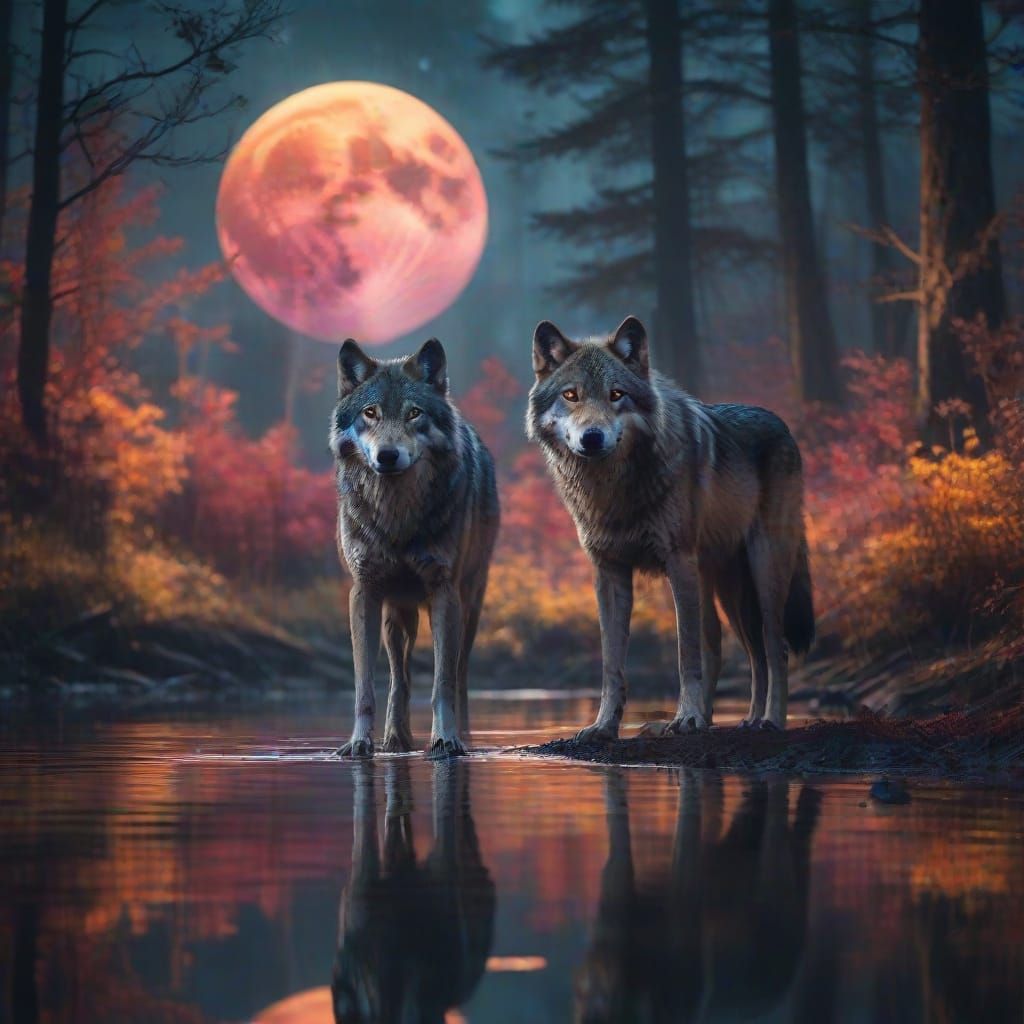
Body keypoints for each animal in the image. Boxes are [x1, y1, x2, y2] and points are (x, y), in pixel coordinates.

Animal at [329, 337, 499, 757]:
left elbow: (442, 683)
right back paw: (395, 738)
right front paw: (358, 742)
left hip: (469, 606)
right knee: (399, 675)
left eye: (414, 414)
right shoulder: (364, 593)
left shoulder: (445, 592)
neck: (398, 519)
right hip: (396, 614)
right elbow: (365, 686)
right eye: (370, 413)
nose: (388, 455)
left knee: (459, 674)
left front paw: (446, 738)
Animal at [527, 315, 813, 736]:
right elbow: (612, 662)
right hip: (725, 588)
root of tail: (784, 425)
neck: (612, 490)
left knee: (775, 647)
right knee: (740, 651)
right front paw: (604, 726)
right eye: (571, 395)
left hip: (763, 570)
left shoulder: (678, 562)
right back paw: (735, 720)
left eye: (616, 395)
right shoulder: (609, 573)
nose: (592, 438)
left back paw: (768, 721)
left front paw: (687, 715)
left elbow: (685, 653)